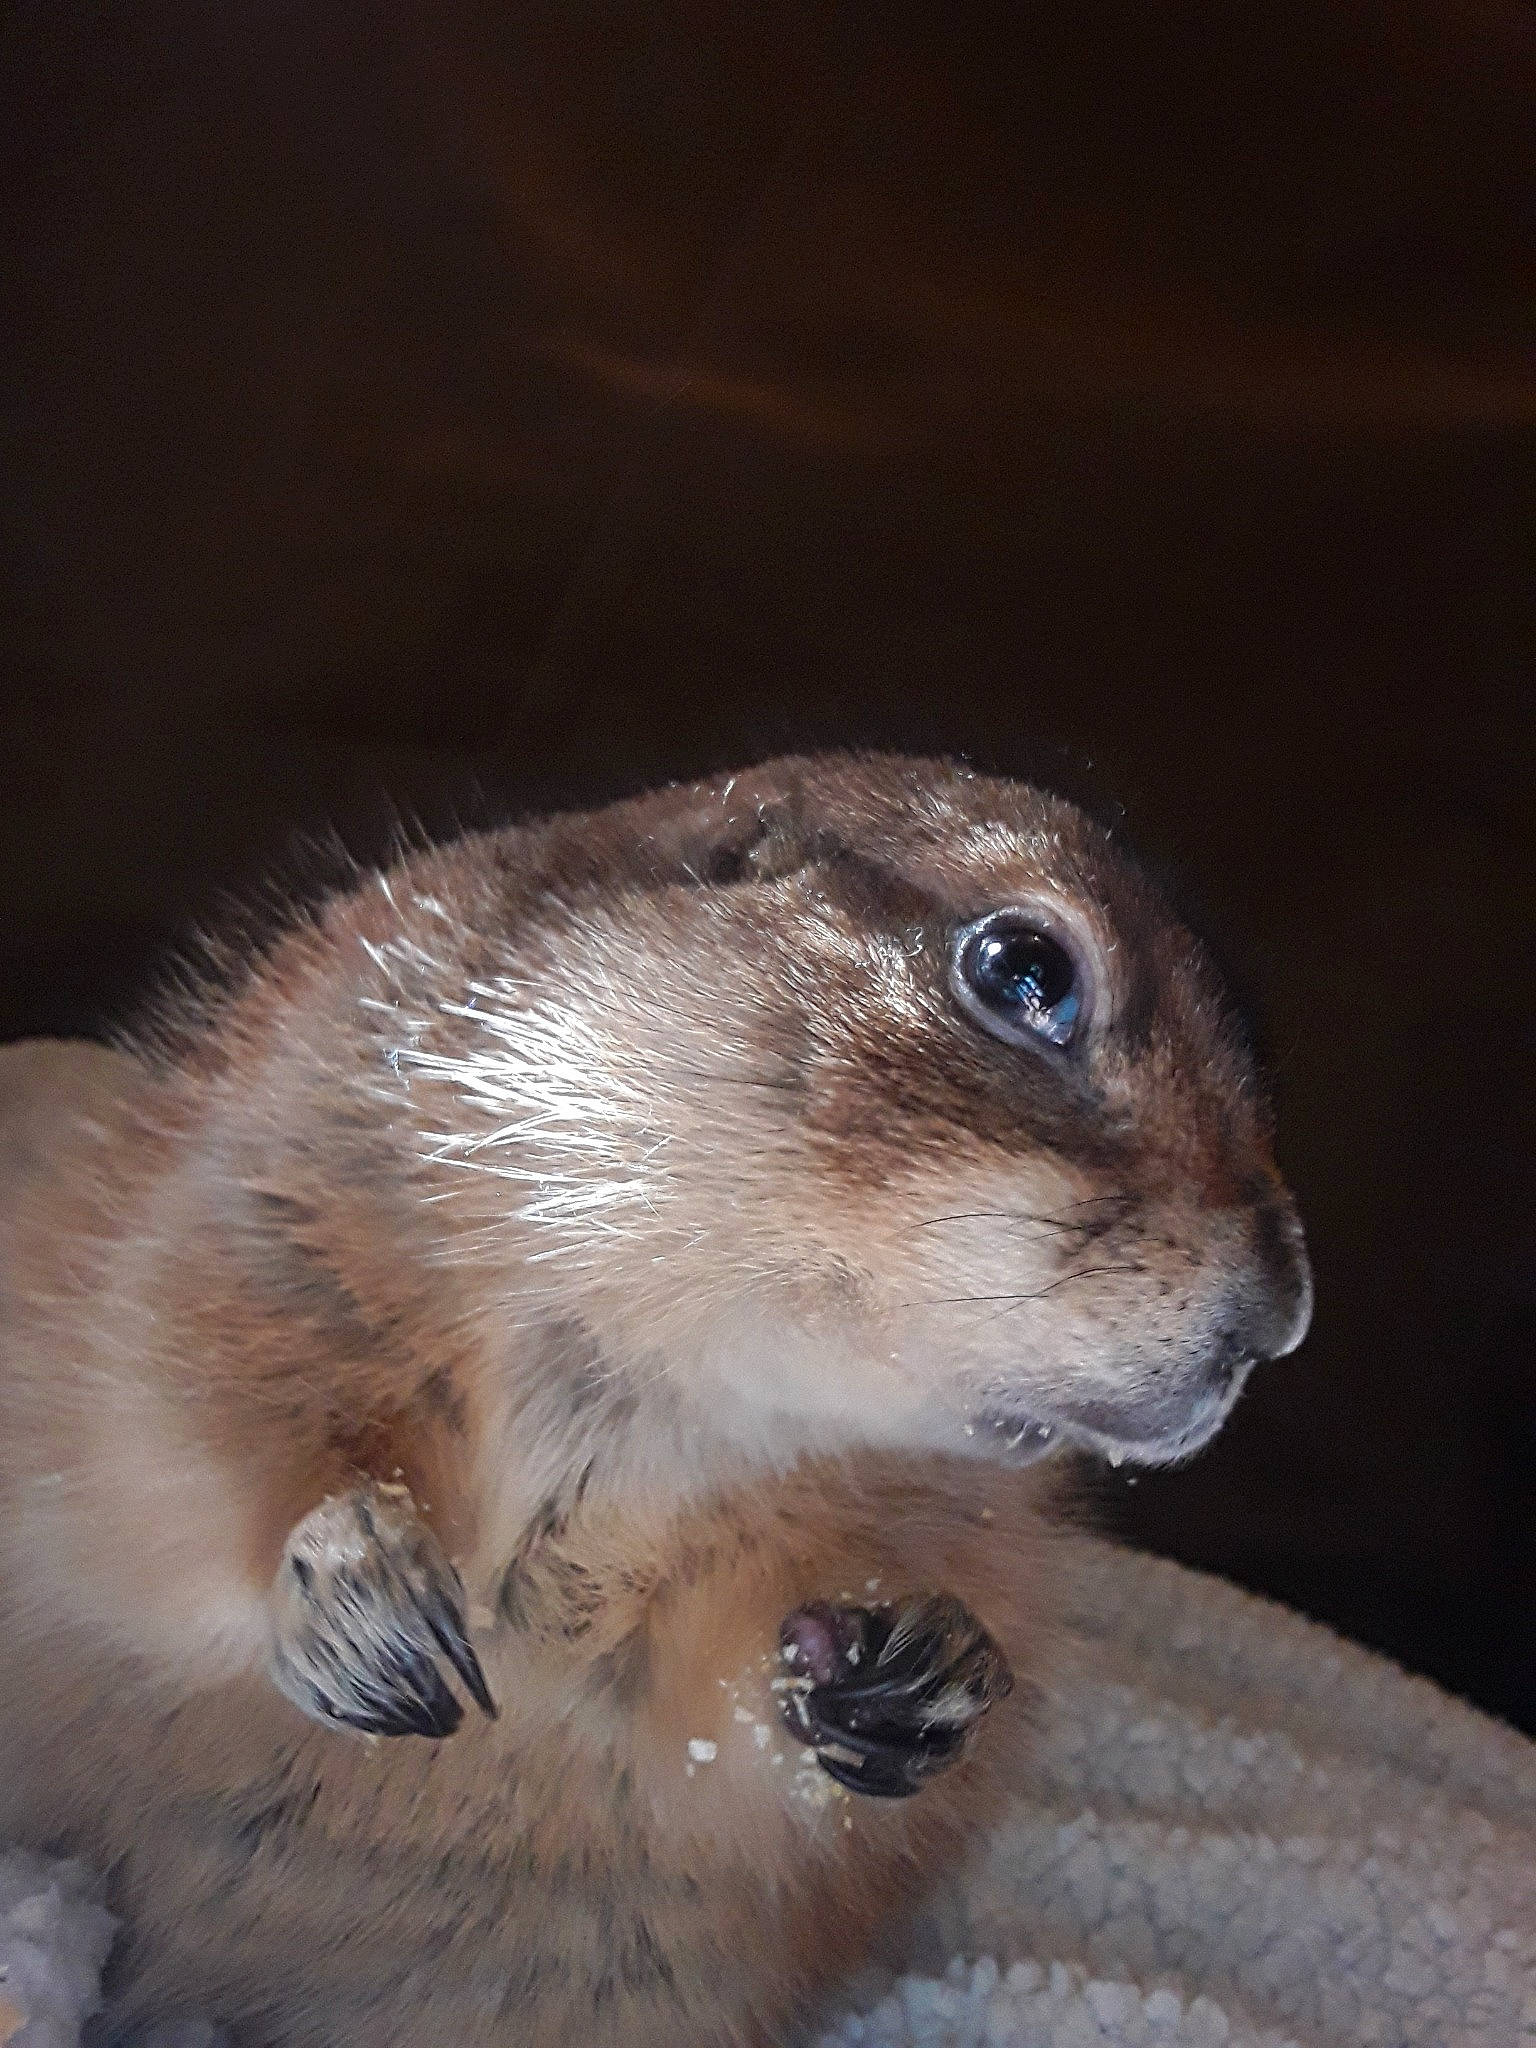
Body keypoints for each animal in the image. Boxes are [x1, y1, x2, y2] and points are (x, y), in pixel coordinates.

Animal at [0, 754, 1310, 2047]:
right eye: (1024, 970)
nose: (1284, 1312)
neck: (676, 1403)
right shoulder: (241, 1220)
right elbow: (182, 1433)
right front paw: (363, 1590)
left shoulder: (938, 1509)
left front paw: (921, 1666)